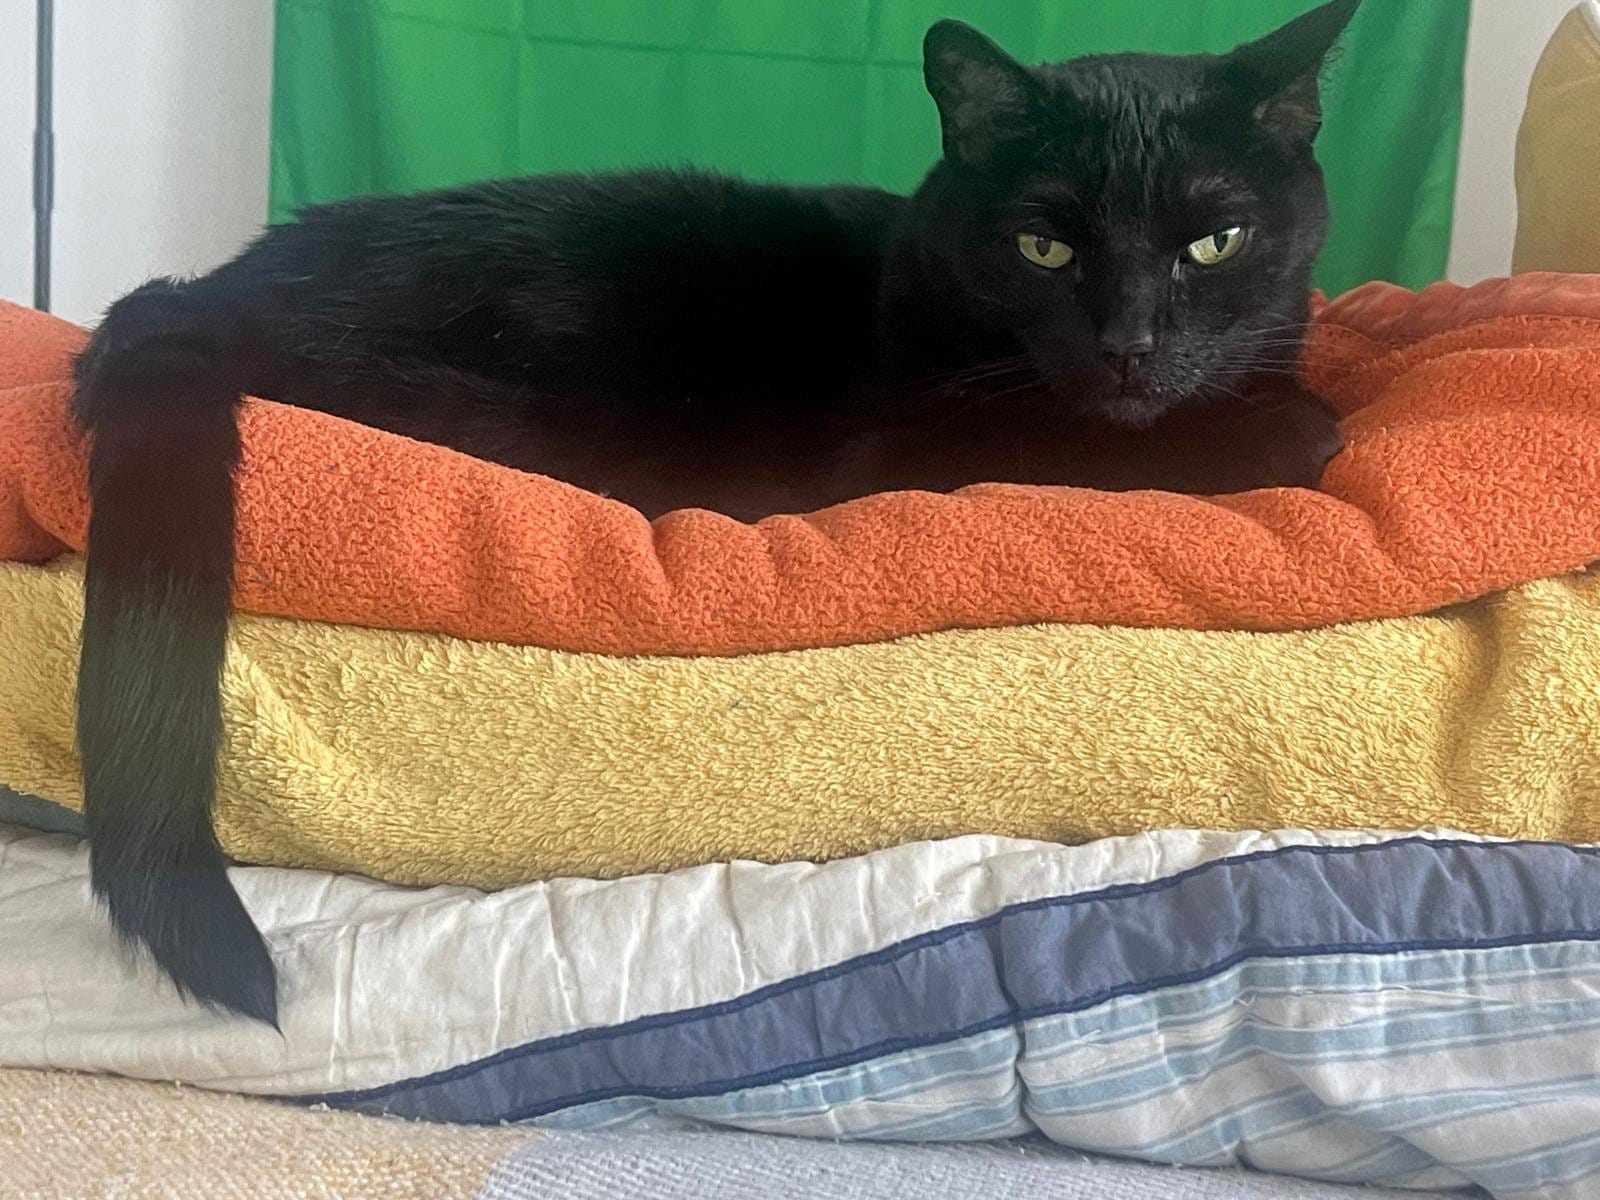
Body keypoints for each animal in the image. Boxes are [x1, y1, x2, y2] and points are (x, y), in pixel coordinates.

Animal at [68, 0, 1356, 1024]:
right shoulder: (923, 448)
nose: (1131, 344)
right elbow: (1116, 443)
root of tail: (201, 297)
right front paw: (1291, 427)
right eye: (1042, 247)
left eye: (1215, 240)